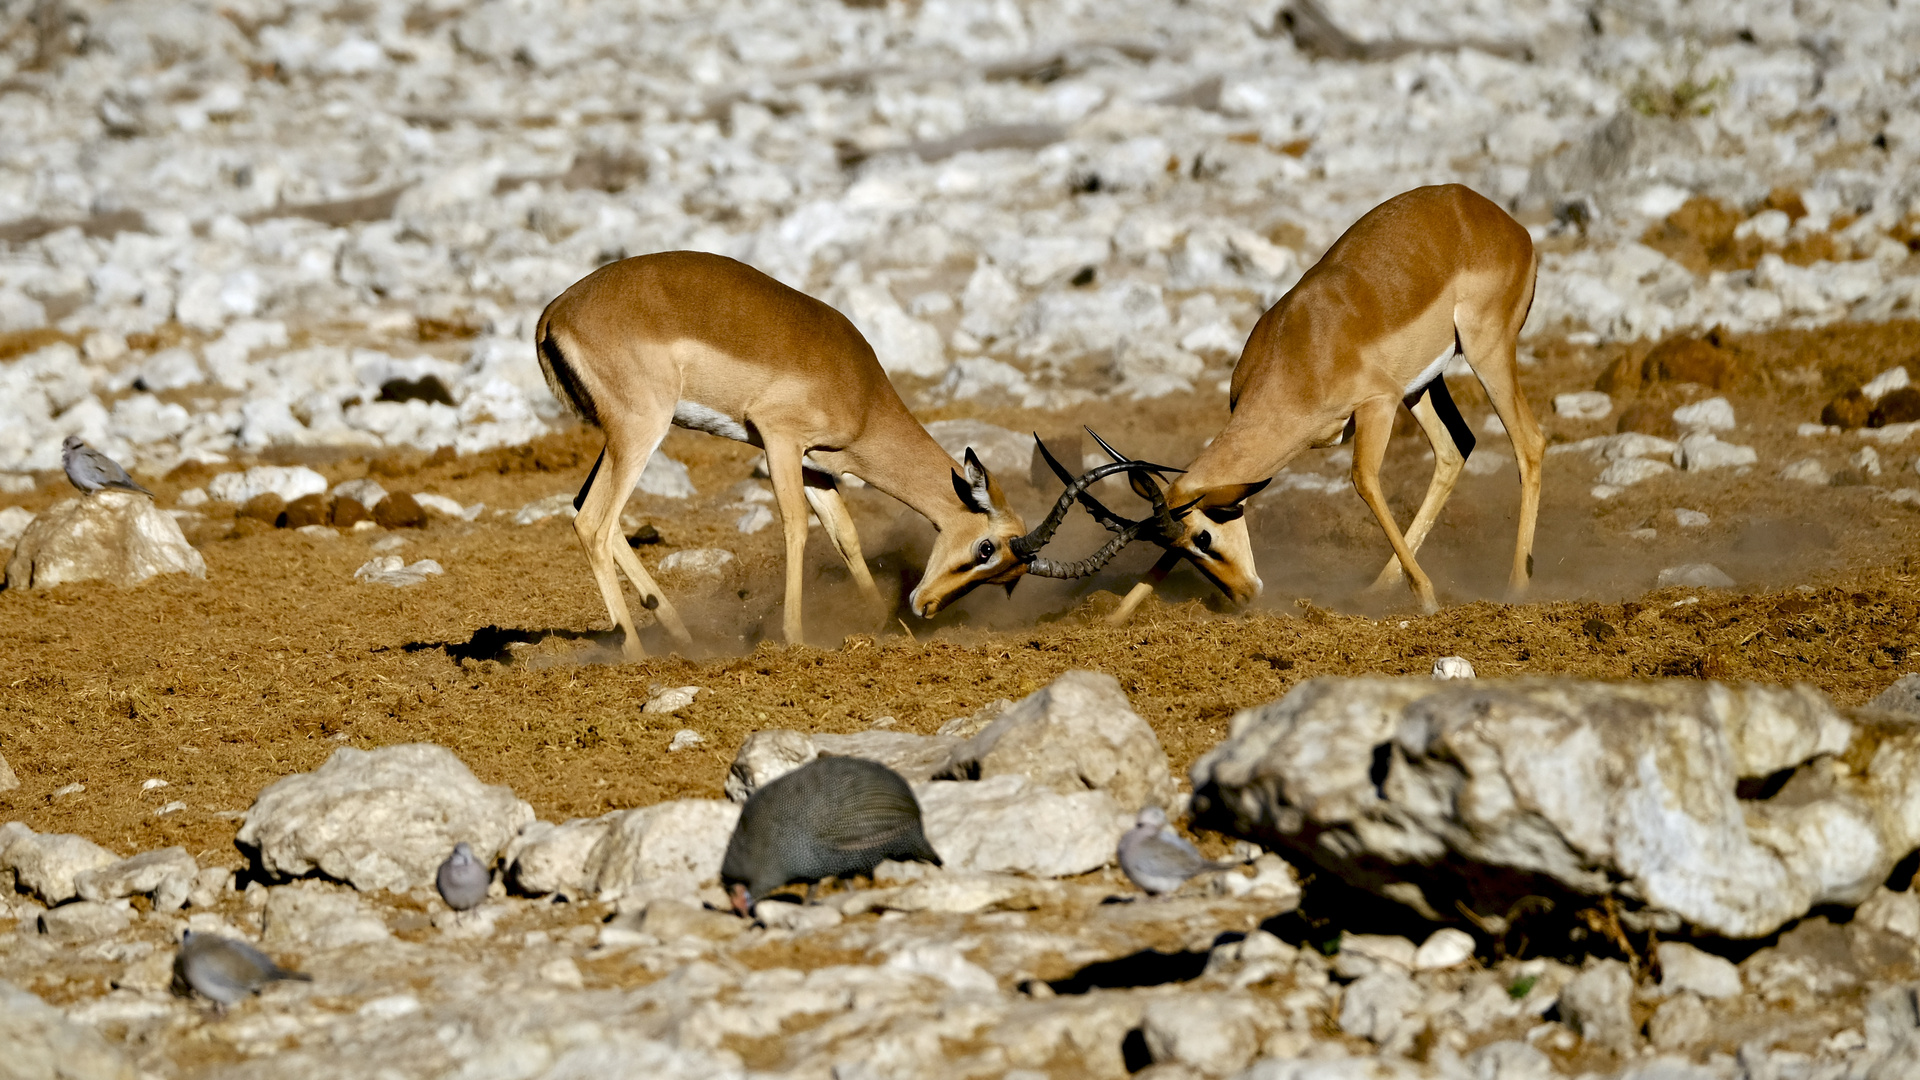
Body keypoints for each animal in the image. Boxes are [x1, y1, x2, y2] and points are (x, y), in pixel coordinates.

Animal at [533, 249, 1144, 657]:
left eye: (1004, 578)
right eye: (985, 547)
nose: (924, 606)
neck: (862, 393)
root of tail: (555, 312)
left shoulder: (817, 466)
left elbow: (844, 532)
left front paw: (878, 621)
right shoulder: (778, 439)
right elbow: (795, 528)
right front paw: (795, 637)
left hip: (621, 438)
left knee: (590, 510)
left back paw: (679, 634)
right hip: (641, 430)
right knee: (593, 521)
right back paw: (637, 652)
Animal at [1059, 187, 1551, 614]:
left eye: (1203, 539)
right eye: (1176, 546)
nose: (1243, 595)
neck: (1299, 351)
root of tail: (1504, 223)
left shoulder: (1376, 404)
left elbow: (1364, 480)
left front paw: (1428, 599)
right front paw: (1111, 617)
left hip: (1485, 353)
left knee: (1529, 442)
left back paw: (1514, 589)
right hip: (1422, 387)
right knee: (1454, 450)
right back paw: (1376, 589)